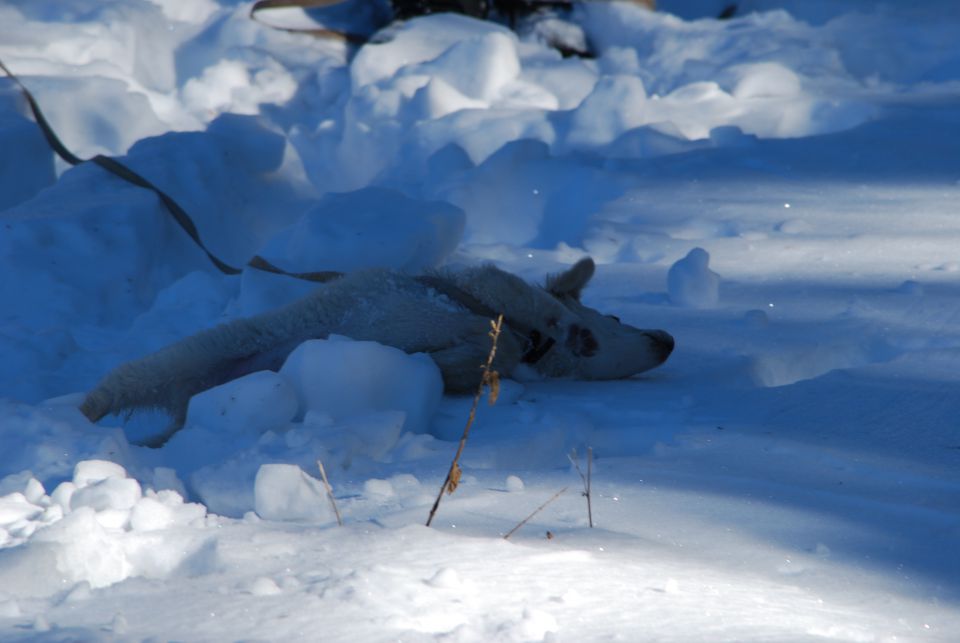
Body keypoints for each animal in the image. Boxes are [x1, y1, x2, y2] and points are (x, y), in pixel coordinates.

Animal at [80, 260, 676, 446]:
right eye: (614, 319)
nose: (668, 340)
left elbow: (487, 356)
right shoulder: (493, 292)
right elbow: (517, 318)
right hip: (194, 354)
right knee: (124, 381)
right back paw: (85, 412)